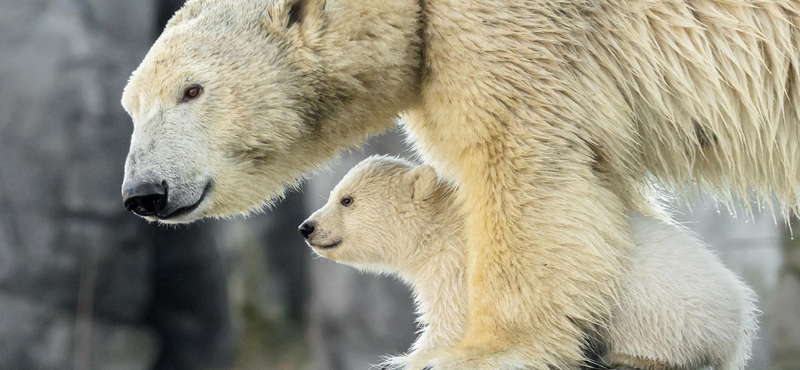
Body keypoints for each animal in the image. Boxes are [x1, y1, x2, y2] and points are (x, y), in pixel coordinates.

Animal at [120, 1, 800, 368]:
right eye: (132, 104)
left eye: (191, 89)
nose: (143, 192)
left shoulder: (510, 28)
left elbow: (521, 151)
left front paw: (482, 350)